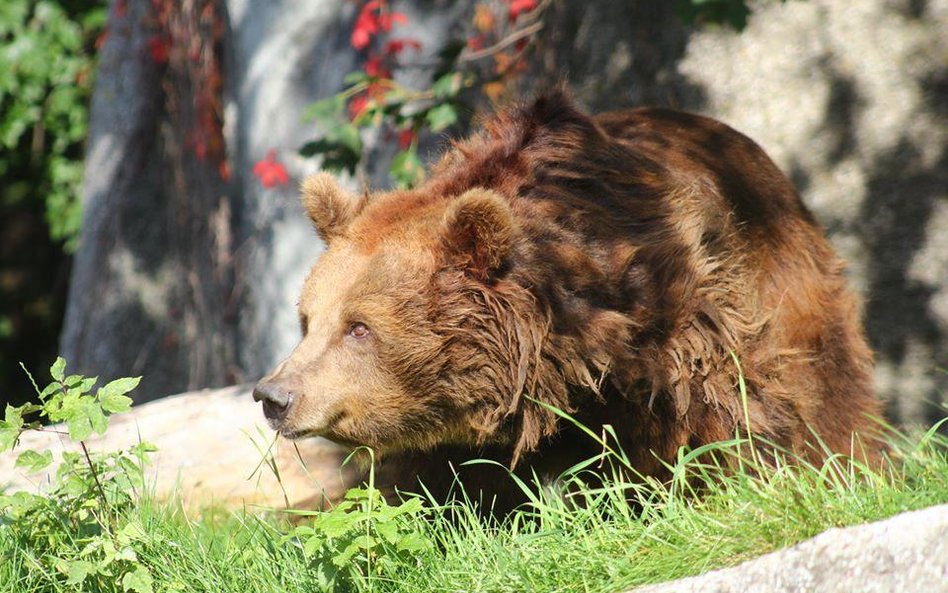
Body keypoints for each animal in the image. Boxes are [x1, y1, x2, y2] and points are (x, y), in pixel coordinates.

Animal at [252, 90, 880, 506]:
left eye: (359, 327)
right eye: (306, 320)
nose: (274, 395)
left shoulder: (675, 315)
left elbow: (723, 414)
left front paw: (733, 489)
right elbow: (444, 486)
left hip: (783, 270)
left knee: (826, 384)